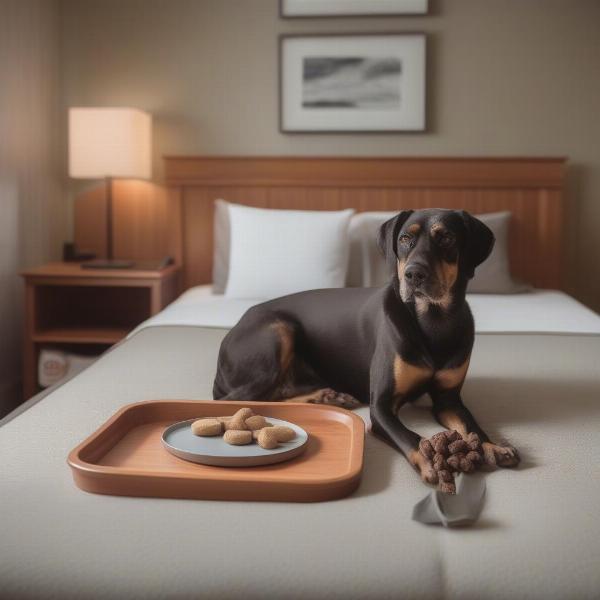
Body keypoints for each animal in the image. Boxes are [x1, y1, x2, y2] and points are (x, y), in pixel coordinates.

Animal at [214, 209, 520, 486]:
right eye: (405, 238)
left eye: (446, 237)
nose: (414, 274)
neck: (433, 321)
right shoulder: (381, 406)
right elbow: (408, 435)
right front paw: (430, 459)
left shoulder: (449, 399)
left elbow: (470, 425)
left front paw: (493, 446)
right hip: (278, 331)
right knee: (241, 399)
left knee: (274, 394)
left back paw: (327, 397)